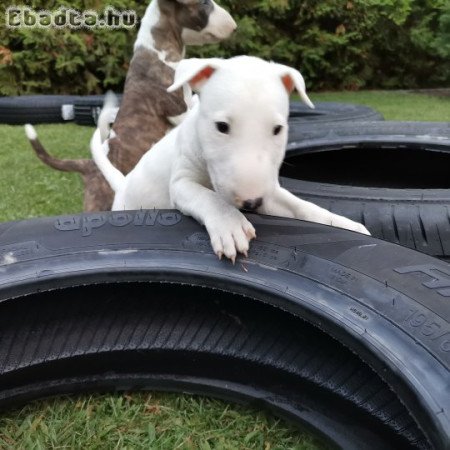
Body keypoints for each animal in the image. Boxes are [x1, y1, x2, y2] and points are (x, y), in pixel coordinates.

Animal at [91, 55, 370, 262]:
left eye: (278, 129)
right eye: (222, 127)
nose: (251, 203)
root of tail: (123, 184)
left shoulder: (271, 192)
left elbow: (301, 206)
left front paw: (345, 225)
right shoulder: (181, 182)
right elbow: (208, 197)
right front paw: (230, 226)